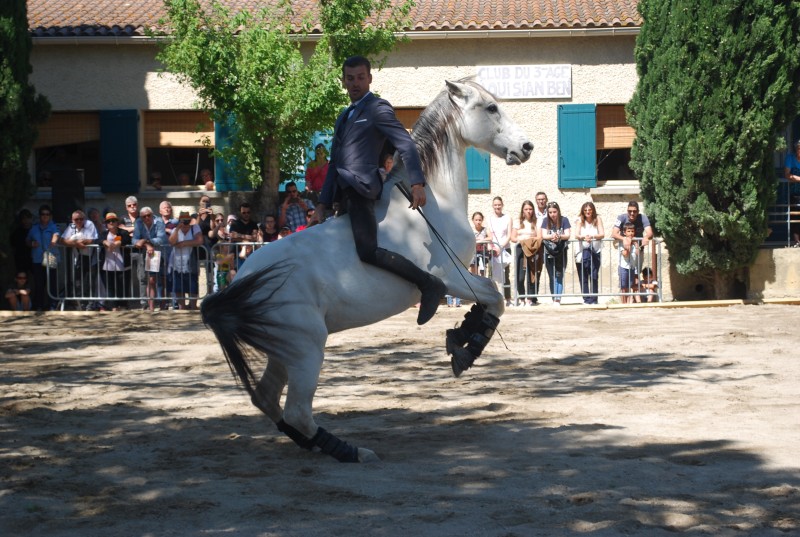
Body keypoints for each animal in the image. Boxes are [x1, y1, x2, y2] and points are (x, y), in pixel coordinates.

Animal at [203, 79, 536, 460]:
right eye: (491, 108)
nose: (527, 147)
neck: (434, 203)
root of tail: (241, 283)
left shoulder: (460, 277)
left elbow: (491, 300)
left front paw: (461, 338)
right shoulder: (453, 277)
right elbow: (495, 297)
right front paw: (465, 349)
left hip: (284, 349)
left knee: (267, 398)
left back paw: (316, 446)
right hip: (306, 348)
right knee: (296, 410)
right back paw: (351, 452)